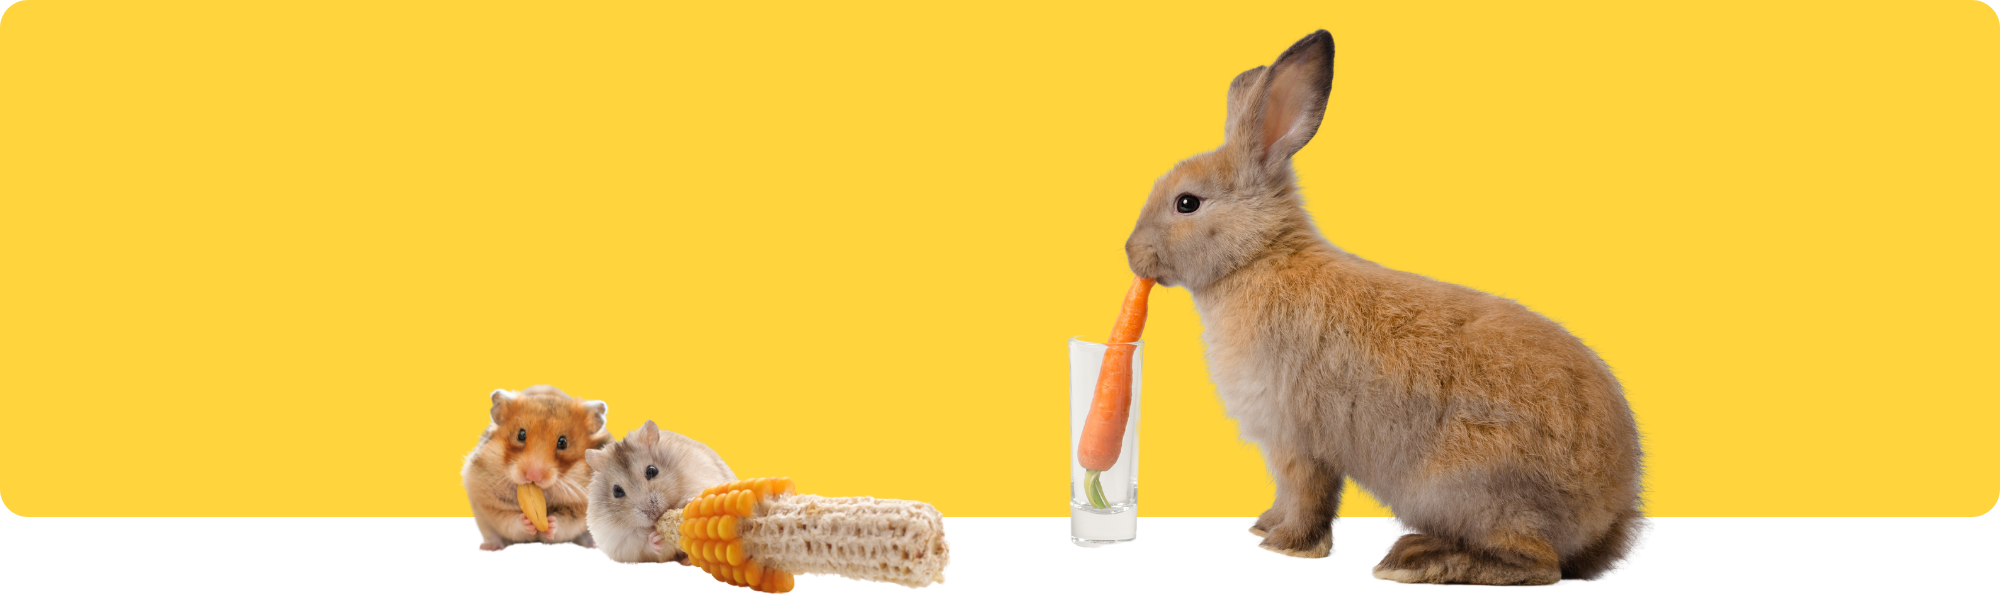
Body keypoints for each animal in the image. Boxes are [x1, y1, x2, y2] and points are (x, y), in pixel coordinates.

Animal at [1123, 30, 1643, 585]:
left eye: (1187, 203)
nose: (1131, 252)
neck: (1257, 259)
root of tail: (1609, 515)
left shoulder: (1296, 439)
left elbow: (1305, 495)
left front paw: (1286, 547)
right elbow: (1287, 497)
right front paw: (1264, 526)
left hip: (1463, 487)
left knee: (1536, 564)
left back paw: (1414, 560)